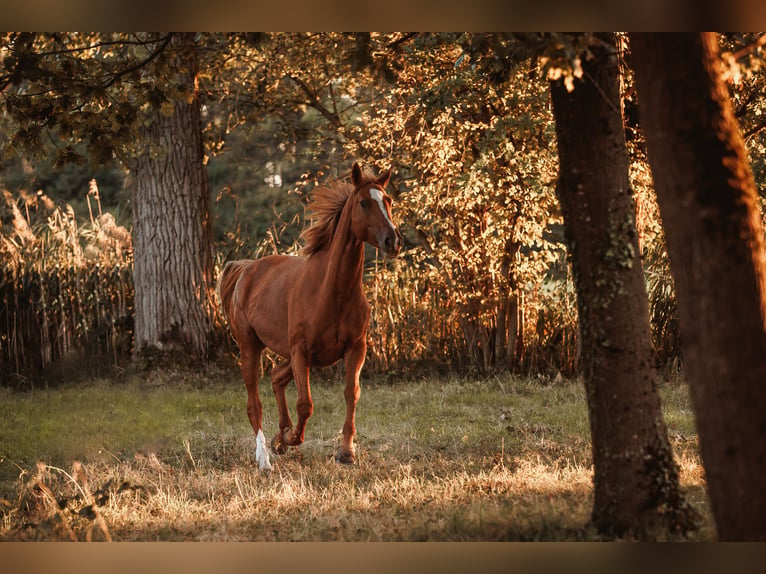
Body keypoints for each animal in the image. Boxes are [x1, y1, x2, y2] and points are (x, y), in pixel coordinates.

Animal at [220, 164, 404, 470]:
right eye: (364, 202)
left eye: (388, 200)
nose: (393, 241)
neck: (330, 291)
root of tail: (246, 269)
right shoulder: (301, 352)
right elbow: (305, 404)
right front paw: (294, 438)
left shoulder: (355, 349)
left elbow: (351, 393)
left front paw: (345, 452)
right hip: (251, 347)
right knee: (254, 404)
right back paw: (264, 459)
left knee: (276, 377)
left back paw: (278, 439)